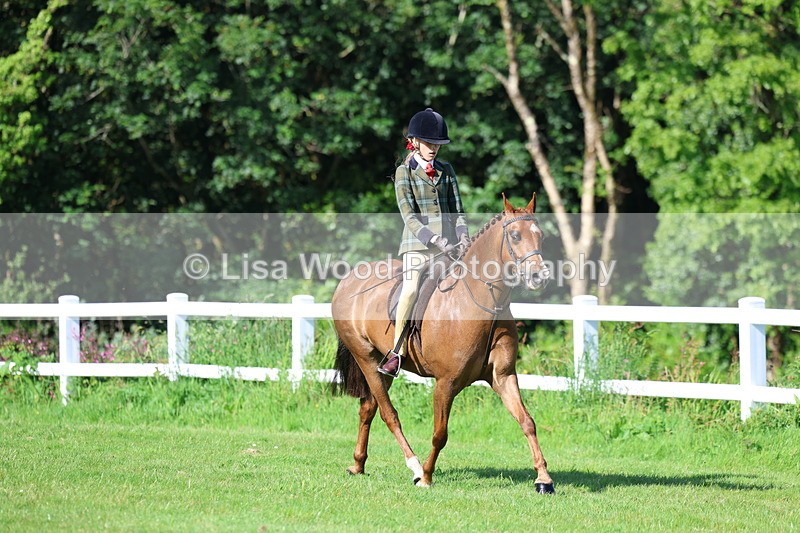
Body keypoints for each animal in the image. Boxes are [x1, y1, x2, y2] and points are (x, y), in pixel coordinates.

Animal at [330, 193, 555, 493]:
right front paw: (426, 476)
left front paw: (543, 479)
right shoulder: (445, 383)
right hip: (365, 359)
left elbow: (527, 422)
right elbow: (440, 433)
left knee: (368, 409)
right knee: (389, 414)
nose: (539, 277)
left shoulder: (504, 377)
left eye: (540, 235)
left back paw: (358, 464)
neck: (480, 304)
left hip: (381, 365)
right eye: (516, 235)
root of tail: (348, 280)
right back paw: (413, 466)